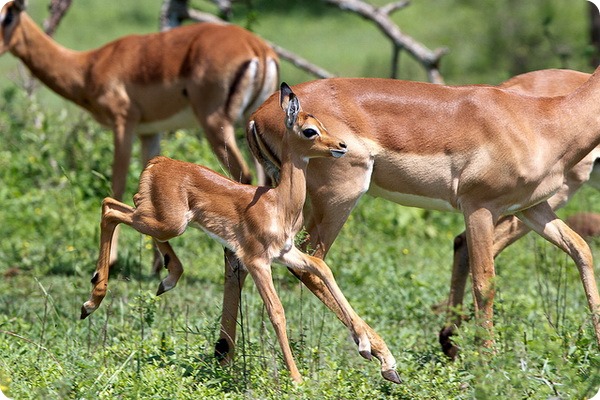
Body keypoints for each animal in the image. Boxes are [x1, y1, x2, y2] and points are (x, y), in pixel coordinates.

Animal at [0, 0, 278, 268]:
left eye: (8, 15)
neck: (91, 66)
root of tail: (257, 47)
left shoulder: (123, 123)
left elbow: (118, 184)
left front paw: (112, 261)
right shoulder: (149, 132)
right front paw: (158, 264)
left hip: (215, 124)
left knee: (243, 176)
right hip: (251, 129)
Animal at [79, 83, 398, 384]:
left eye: (321, 122)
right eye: (309, 130)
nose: (341, 145)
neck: (277, 203)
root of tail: (159, 162)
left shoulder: (286, 254)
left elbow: (321, 267)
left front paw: (369, 349)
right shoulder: (257, 261)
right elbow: (277, 312)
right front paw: (296, 378)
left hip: (163, 220)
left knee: (116, 207)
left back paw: (165, 280)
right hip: (167, 222)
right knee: (109, 210)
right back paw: (90, 303)